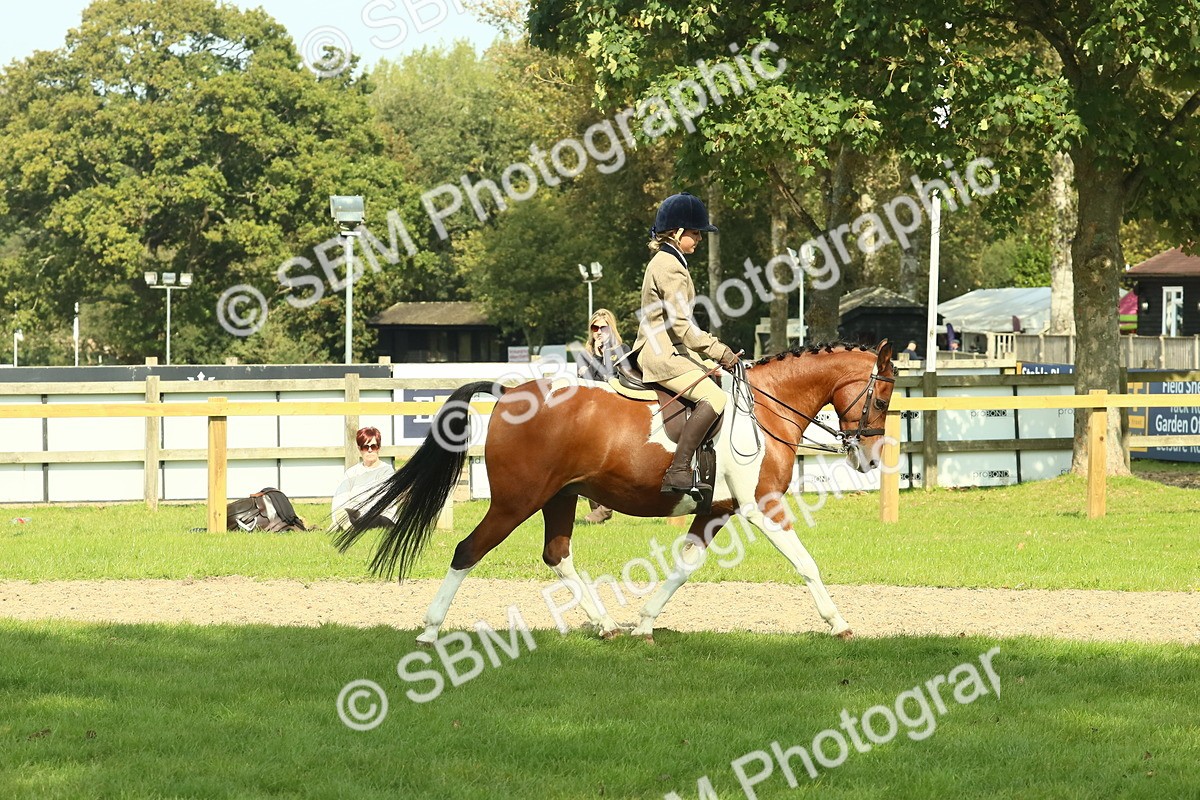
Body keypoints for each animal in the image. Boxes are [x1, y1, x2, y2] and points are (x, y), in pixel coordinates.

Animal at [335, 341, 896, 643]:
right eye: (883, 396)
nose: (868, 460)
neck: (765, 407)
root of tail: (511, 391)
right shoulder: (761, 507)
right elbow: (806, 564)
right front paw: (840, 623)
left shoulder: (715, 511)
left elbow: (684, 567)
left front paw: (645, 623)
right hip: (516, 502)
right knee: (467, 550)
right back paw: (430, 629)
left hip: (559, 498)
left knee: (557, 553)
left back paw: (605, 624)